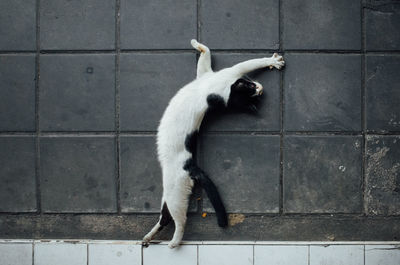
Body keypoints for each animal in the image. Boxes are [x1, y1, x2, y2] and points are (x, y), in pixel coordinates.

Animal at [142, 39, 282, 248]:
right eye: (250, 87)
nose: (260, 88)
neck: (224, 93)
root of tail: (191, 165)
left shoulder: (228, 73)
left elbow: (250, 62)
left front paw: (273, 61)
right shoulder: (210, 74)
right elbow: (206, 54)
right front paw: (196, 44)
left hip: (175, 192)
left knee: (179, 220)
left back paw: (173, 242)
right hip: (168, 194)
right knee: (166, 217)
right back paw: (149, 237)